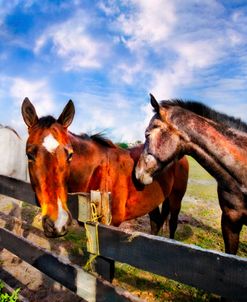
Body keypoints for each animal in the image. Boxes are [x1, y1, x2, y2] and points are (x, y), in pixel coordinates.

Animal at [21, 98, 188, 237]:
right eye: (29, 155)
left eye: (70, 155)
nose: (57, 222)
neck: (96, 171)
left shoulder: (111, 225)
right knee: (155, 223)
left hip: (176, 199)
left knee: (172, 224)